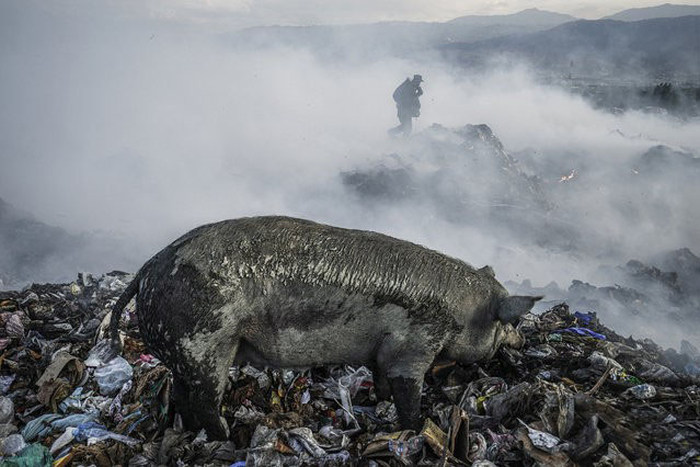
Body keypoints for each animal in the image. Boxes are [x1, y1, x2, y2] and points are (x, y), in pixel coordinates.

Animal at [112, 218, 544, 440]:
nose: (522, 338)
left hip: (185, 352)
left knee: (182, 394)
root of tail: (147, 270)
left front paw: (379, 402)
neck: (462, 312)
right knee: (204, 397)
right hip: (205, 341)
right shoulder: (415, 343)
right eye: (510, 322)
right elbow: (407, 388)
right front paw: (417, 427)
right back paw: (228, 436)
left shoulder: (381, 349)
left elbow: (381, 376)